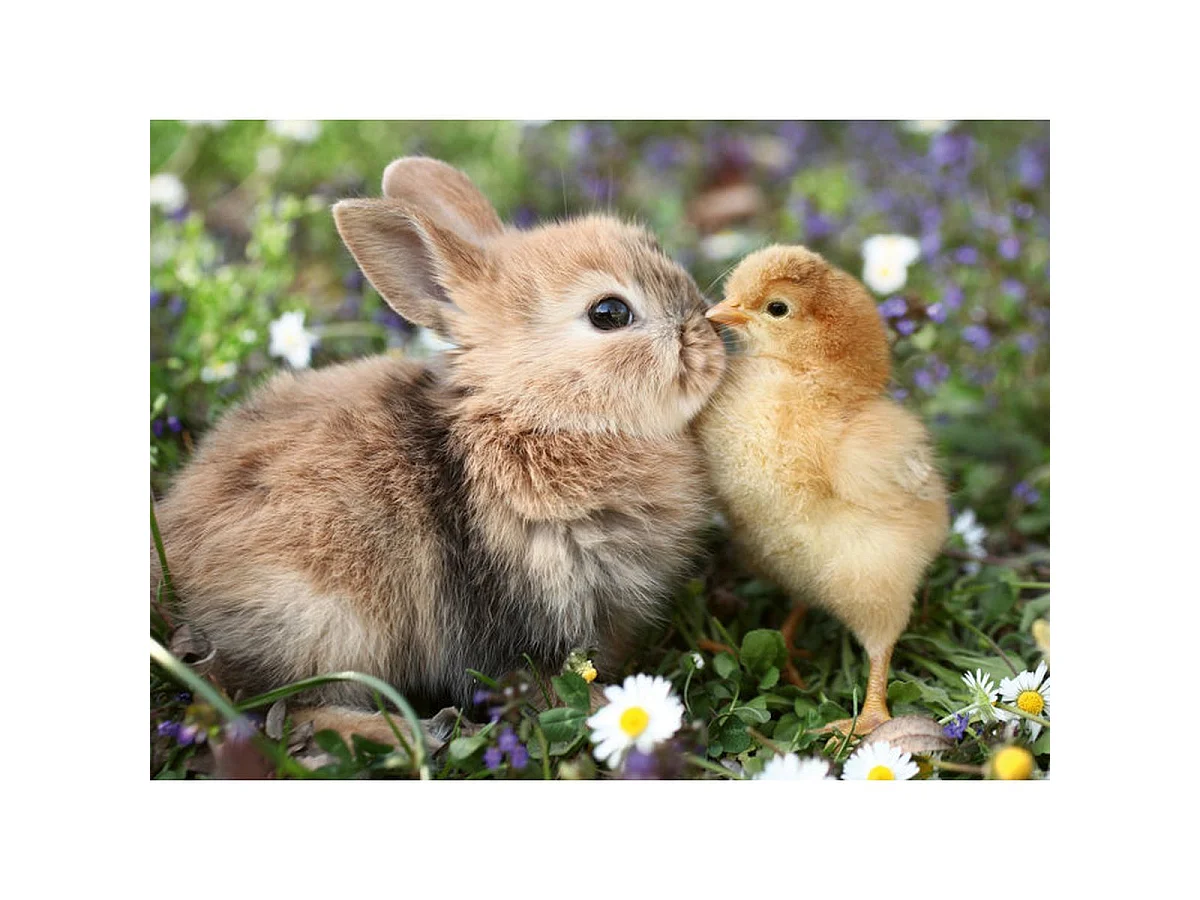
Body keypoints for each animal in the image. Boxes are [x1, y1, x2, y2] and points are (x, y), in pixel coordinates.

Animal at [152, 157, 726, 727]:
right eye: (609, 313)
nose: (711, 334)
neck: (531, 411)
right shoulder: (514, 612)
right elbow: (537, 682)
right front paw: (610, 708)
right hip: (320, 619)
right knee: (286, 708)